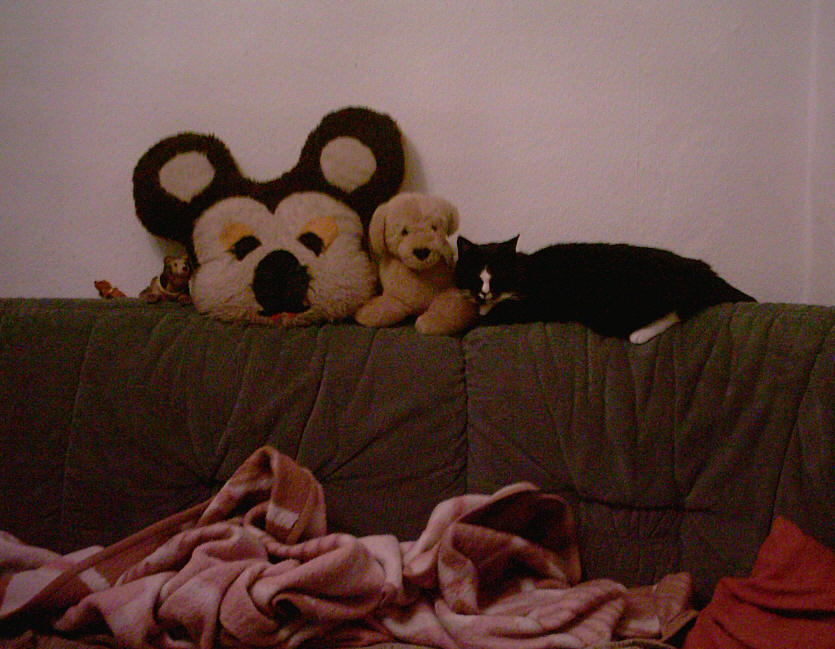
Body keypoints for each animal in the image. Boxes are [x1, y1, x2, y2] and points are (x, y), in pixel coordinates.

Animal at [454, 235, 755, 343]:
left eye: (498, 276)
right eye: (476, 276)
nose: (484, 292)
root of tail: (699, 267)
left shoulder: (533, 303)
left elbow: (491, 316)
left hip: (621, 307)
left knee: (680, 309)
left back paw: (639, 335)